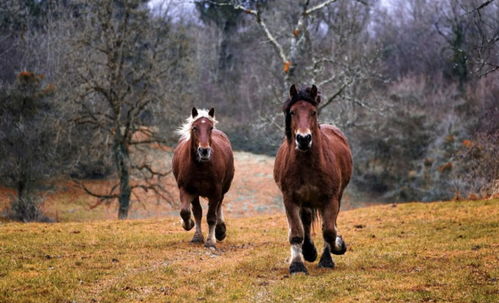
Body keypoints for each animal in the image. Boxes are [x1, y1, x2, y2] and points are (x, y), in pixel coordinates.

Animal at [173, 108, 235, 248]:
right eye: (195, 128)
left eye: (210, 128)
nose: (204, 151)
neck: (201, 167)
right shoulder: (186, 189)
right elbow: (187, 212)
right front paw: (189, 226)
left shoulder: (216, 190)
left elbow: (211, 216)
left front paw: (211, 241)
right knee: (197, 211)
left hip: (223, 189)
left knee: (218, 206)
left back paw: (220, 230)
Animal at [276, 84, 354, 274]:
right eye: (293, 112)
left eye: (313, 112)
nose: (303, 139)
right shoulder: (290, 199)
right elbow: (296, 233)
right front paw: (297, 265)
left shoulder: (331, 199)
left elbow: (329, 231)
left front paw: (336, 248)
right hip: (306, 201)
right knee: (306, 220)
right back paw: (309, 251)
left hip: (336, 197)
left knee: (328, 224)